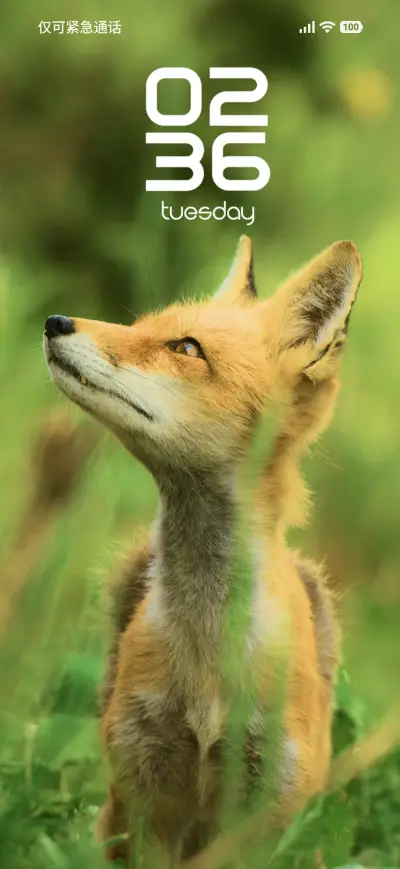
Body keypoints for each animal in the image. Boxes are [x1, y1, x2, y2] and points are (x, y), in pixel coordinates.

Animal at [43, 236, 362, 867]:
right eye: (141, 325)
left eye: (186, 348)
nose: (55, 321)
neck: (207, 661)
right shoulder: (145, 790)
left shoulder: (266, 807)